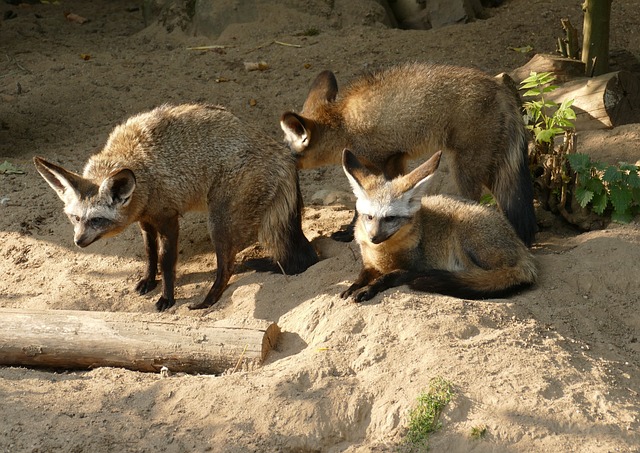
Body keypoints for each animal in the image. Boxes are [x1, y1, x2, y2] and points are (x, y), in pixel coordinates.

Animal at [33, 104, 318, 312]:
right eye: (75, 218)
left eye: (96, 220)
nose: (78, 242)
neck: (141, 169)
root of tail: (282, 153)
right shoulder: (145, 219)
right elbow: (150, 255)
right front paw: (149, 281)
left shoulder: (168, 219)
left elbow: (167, 262)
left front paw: (167, 298)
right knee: (302, 258)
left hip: (219, 223)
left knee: (227, 268)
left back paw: (206, 301)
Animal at [282, 61, 536, 245]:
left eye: (288, 154)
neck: (343, 123)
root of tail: (499, 87)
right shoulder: (396, 160)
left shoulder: (383, 161)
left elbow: (365, 202)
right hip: (492, 169)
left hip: (465, 169)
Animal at [340, 150, 536, 302]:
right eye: (369, 217)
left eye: (390, 218)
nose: (373, 238)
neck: (383, 253)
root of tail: (523, 250)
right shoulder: (369, 262)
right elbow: (362, 275)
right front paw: (354, 286)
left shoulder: (415, 266)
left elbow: (387, 277)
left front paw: (368, 289)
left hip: (464, 232)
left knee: (487, 276)